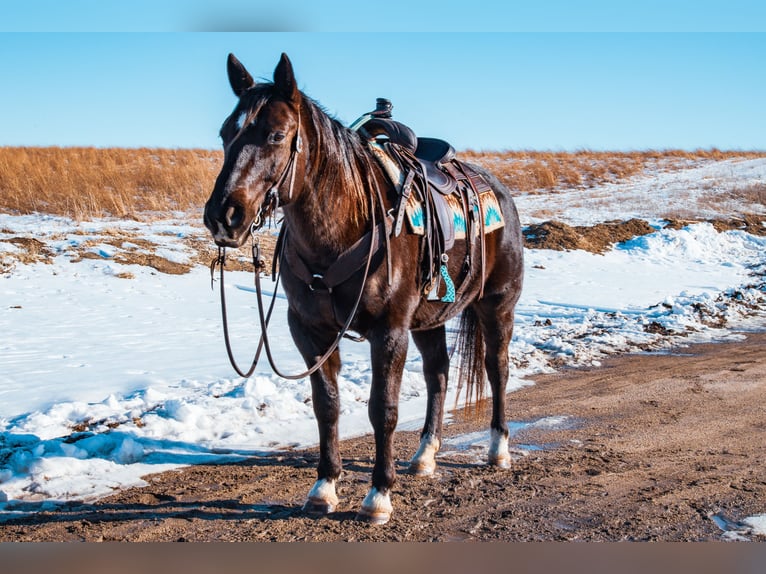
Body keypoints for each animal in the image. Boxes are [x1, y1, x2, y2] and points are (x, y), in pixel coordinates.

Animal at [203, 53, 524, 524]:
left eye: (277, 134)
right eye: (226, 132)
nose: (223, 215)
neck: (340, 230)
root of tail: (500, 191)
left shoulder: (389, 331)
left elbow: (383, 409)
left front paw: (378, 495)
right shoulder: (310, 331)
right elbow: (327, 405)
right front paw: (324, 487)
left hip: (497, 306)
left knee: (496, 368)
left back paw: (498, 449)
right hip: (429, 320)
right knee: (438, 374)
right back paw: (425, 455)